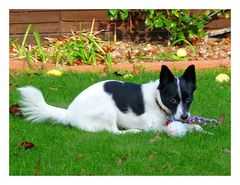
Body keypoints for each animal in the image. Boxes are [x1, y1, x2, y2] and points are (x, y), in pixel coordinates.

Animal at [17, 65, 201, 134]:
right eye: (173, 99)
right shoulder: (152, 127)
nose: (185, 116)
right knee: (114, 132)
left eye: (189, 99)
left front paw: (196, 127)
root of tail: (69, 113)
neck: (157, 99)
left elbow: (193, 126)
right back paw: (132, 131)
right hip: (108, 109)